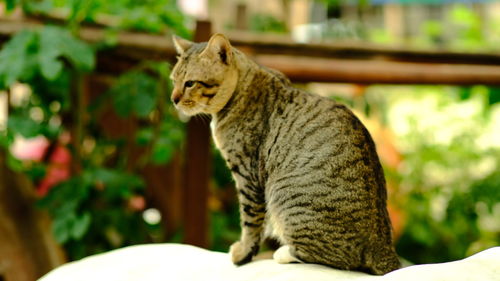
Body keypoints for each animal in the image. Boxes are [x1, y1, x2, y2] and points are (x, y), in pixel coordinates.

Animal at [170, 32, 400, 274]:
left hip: (283, 196)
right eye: (173, 80)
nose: (173, 99)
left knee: (338, 258)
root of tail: (383, 247)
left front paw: (242, 253)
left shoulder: (247, 176)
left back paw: (284, 252)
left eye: (190, 83)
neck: (243, 88)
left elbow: (250, 223)